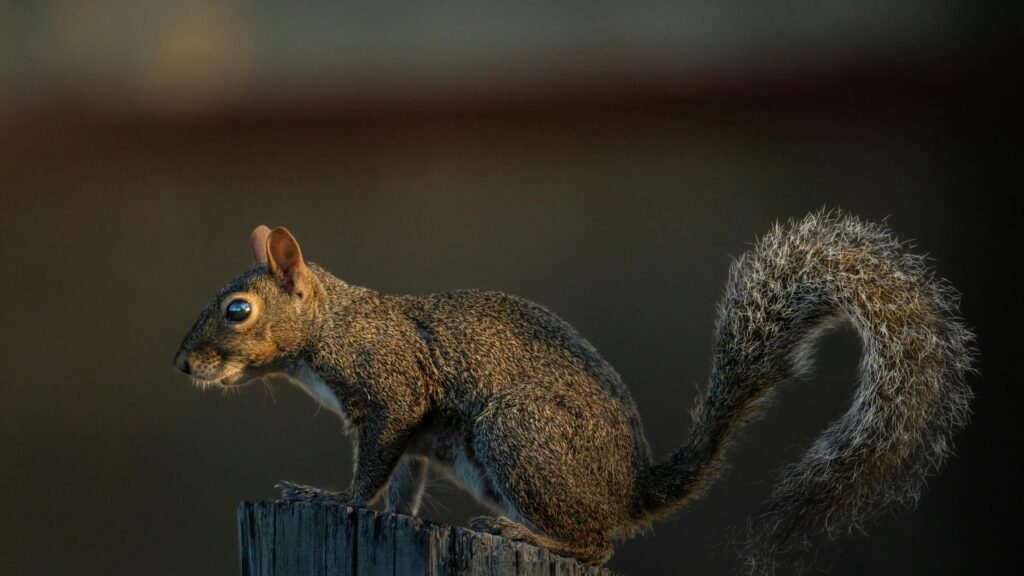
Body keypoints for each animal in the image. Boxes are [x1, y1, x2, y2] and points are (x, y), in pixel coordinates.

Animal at [174, 210, 974, 573]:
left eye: (238, 311)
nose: (183, 365)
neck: (336, 326)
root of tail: (630, 490)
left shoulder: (393, 393)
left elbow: (372, 472)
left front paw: (332, 499)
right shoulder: (414, 435)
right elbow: (403, 484)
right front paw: (389, 517)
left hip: (518, 436)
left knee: (595, 544)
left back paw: (526, 533)